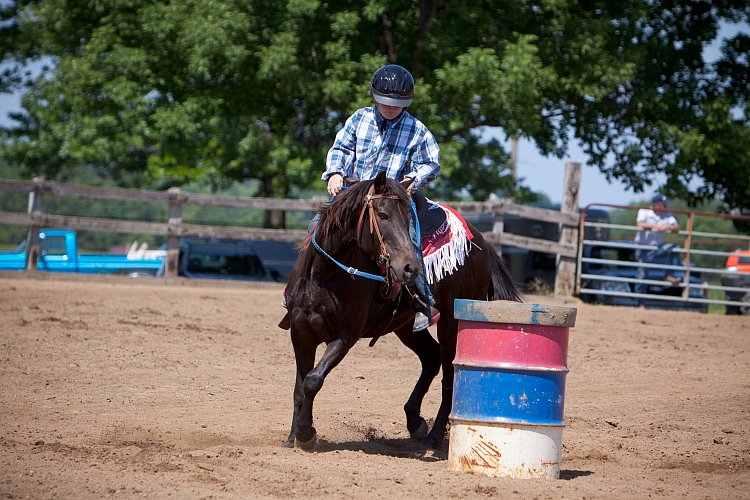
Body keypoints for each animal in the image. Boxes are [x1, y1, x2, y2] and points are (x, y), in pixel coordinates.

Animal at [280, 172, 520, 450]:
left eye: (408, 220)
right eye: (382, 215)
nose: (410, 268)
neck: (324, 277)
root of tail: (481, 242)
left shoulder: (345, 336)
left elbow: (313, 380)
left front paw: (306, 434)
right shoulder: (301, 333)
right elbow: (299, 387)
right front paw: (291, 439)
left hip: (451, 322)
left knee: (449, 373)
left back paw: (434, 435)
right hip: (406, 327)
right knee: (431, 357)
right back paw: (415, 421)